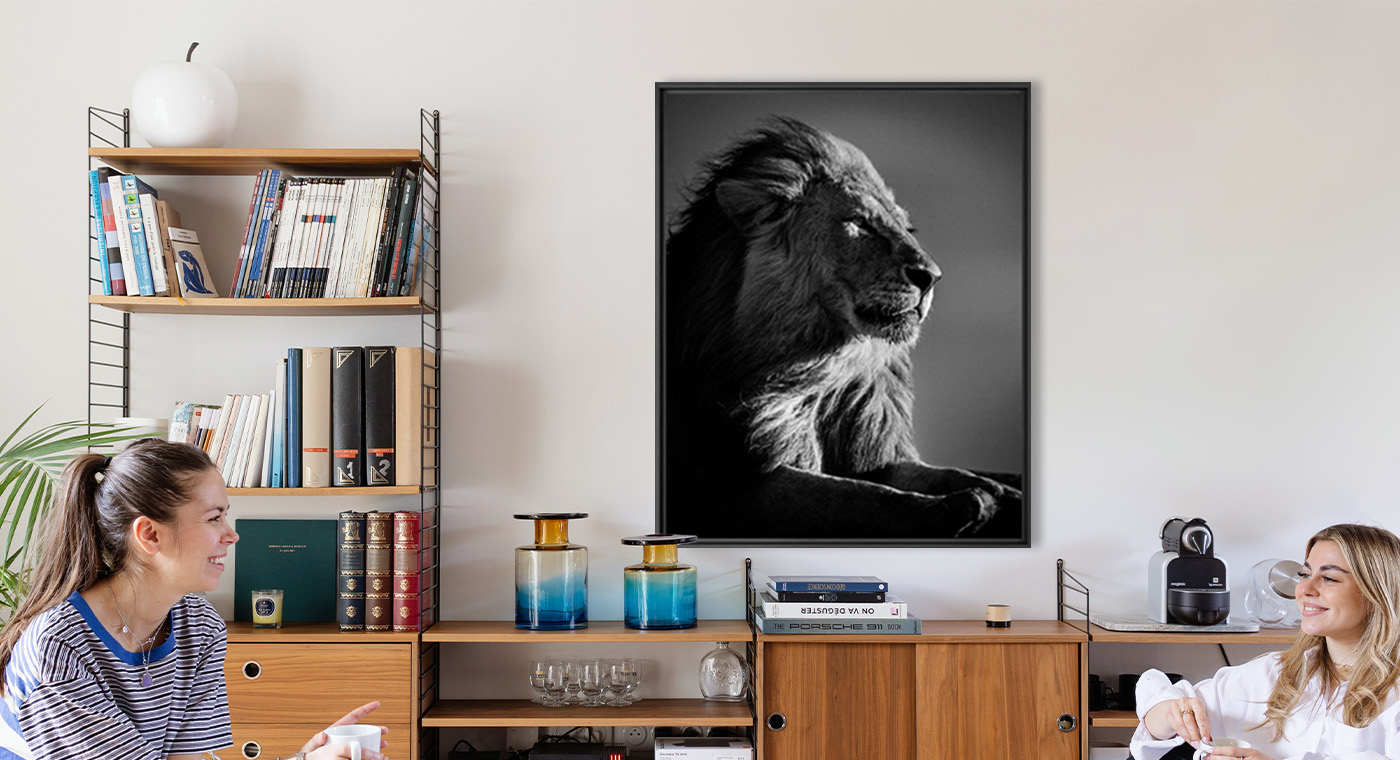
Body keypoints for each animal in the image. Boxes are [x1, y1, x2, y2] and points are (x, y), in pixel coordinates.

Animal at [663, 116, 1022, 540]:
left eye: (907, 228)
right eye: (860, 223)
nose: (931, 276)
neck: (822, 372)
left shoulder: (871, 449)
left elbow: (946, 474)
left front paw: (1001, 493)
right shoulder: (734, 481)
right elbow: (860, 497)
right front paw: (961, 505)